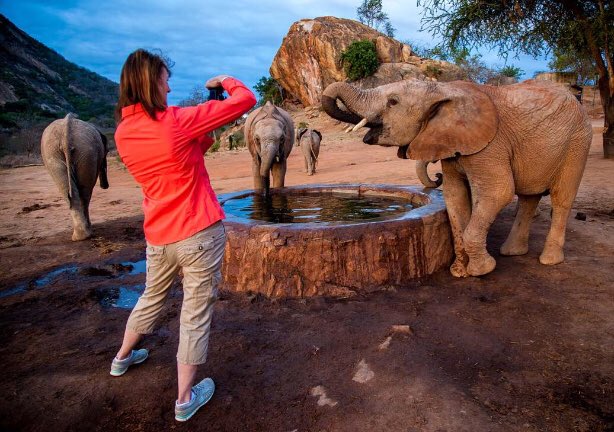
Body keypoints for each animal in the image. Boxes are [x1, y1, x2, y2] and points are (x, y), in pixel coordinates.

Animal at [41, 113, 109, 241]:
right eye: (107, 151)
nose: (105, 186)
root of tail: (66, 134)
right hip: (80, 153)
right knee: (84, 192)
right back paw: (85, 234)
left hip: (62, 153)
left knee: (69, 191)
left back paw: (80, 236)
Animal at [324, 78, 596, 276]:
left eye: (392, 102)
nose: (435, 176)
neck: (443, 90)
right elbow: (455, 197)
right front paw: (459, 272)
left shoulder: (490, 146)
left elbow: (499, 191)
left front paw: (481, 271)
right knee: (528, 198)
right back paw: (512, 252)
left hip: (578, 142)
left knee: (561, 199)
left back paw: (549, 260)